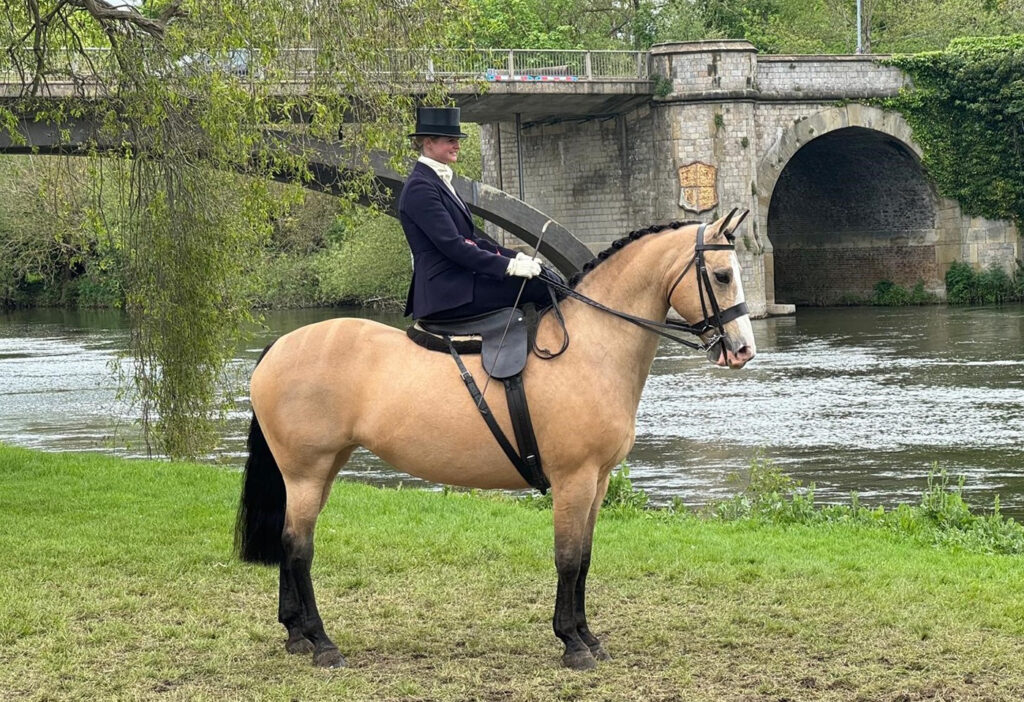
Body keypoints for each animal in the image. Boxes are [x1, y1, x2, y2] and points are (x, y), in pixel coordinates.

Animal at [235, 207, 757, 671]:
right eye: (722, 275)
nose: (743, 350)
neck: (592, 346)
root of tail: (280, 345)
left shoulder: (598, 481)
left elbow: (586, 558)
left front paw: (588, 636)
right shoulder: (574, 480)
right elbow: (568, 559)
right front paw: (572, 644)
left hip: (322, 470)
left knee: (290, 542)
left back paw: (296, 635)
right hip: (306, 471)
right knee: (298, 548)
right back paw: (322, 643)